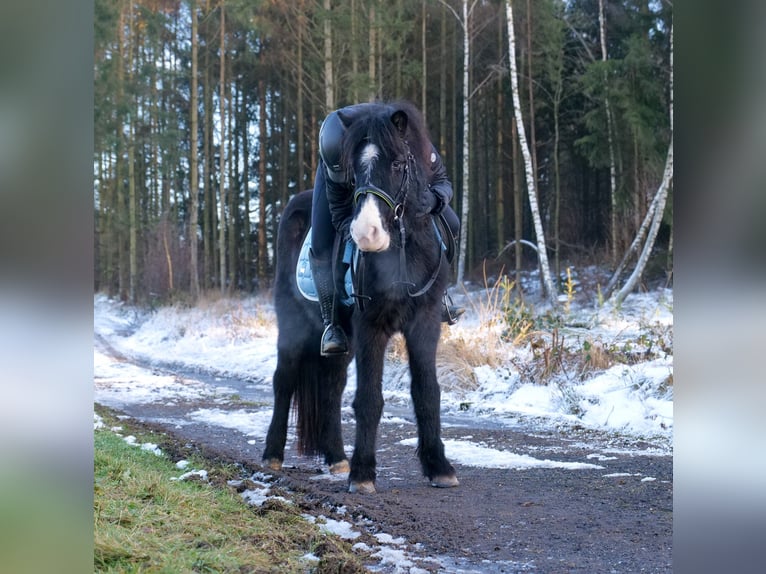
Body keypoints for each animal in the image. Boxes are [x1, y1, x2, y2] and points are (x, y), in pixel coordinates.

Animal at [264, 102, 460, 496]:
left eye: (399, 164)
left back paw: (337, 457)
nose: (367, 234)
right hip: (293, 326)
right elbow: (369, 398)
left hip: (342, 338)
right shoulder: (372, 327)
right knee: (284, 380)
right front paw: (363, 474)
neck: (403, 252)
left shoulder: (425, 323)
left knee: (331, 387)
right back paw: (273, 455)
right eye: (353, 173)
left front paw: (438, 467)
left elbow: (427, 392)